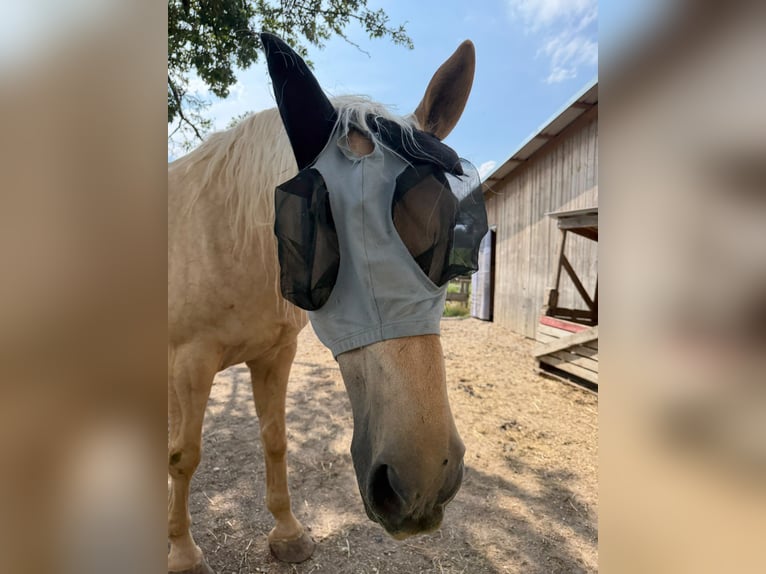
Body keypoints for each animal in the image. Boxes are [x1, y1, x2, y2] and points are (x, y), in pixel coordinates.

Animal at [168, 33, 477, 574]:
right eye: (323, 230)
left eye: (446, 232)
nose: (423, 480)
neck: (230, 237)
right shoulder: (191, 362)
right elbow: (185, 456)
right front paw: (183, 553)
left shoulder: (275, 354)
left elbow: (275, 440)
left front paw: (289, 534)